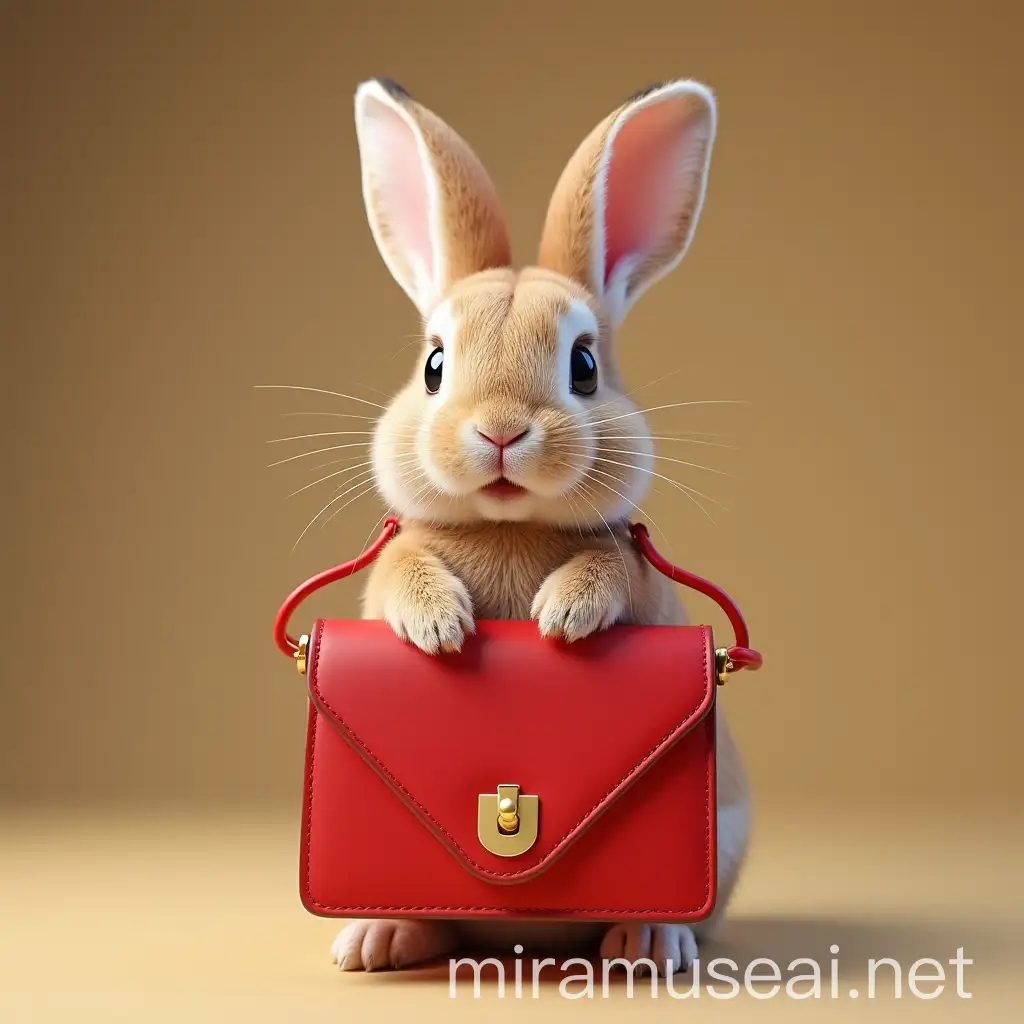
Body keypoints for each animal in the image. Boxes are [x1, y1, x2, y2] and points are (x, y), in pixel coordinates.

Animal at [329, 77, 753, 974]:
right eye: (434, 365)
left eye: (584, 366)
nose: (499, 431)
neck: (507, 526)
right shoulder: (393, 565)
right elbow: (404, 574)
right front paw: (440, 628)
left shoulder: (639, 577)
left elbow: (610, 572)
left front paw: (561, 617)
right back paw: (381, 937)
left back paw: (646, 943)